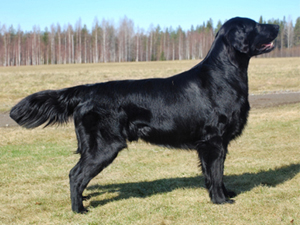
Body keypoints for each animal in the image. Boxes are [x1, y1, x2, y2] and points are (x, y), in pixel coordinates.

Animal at [11, 17, 278, 213]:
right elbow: (216, 172)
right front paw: (221, 200)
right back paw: (79, 210)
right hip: (105, 146)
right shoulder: (213, 141)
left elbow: (214, 175)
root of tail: (88, 90)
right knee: (75, 175)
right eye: (255, 25)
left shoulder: (214, 144)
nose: (277, 25)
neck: (224, 74)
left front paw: (224, 192)